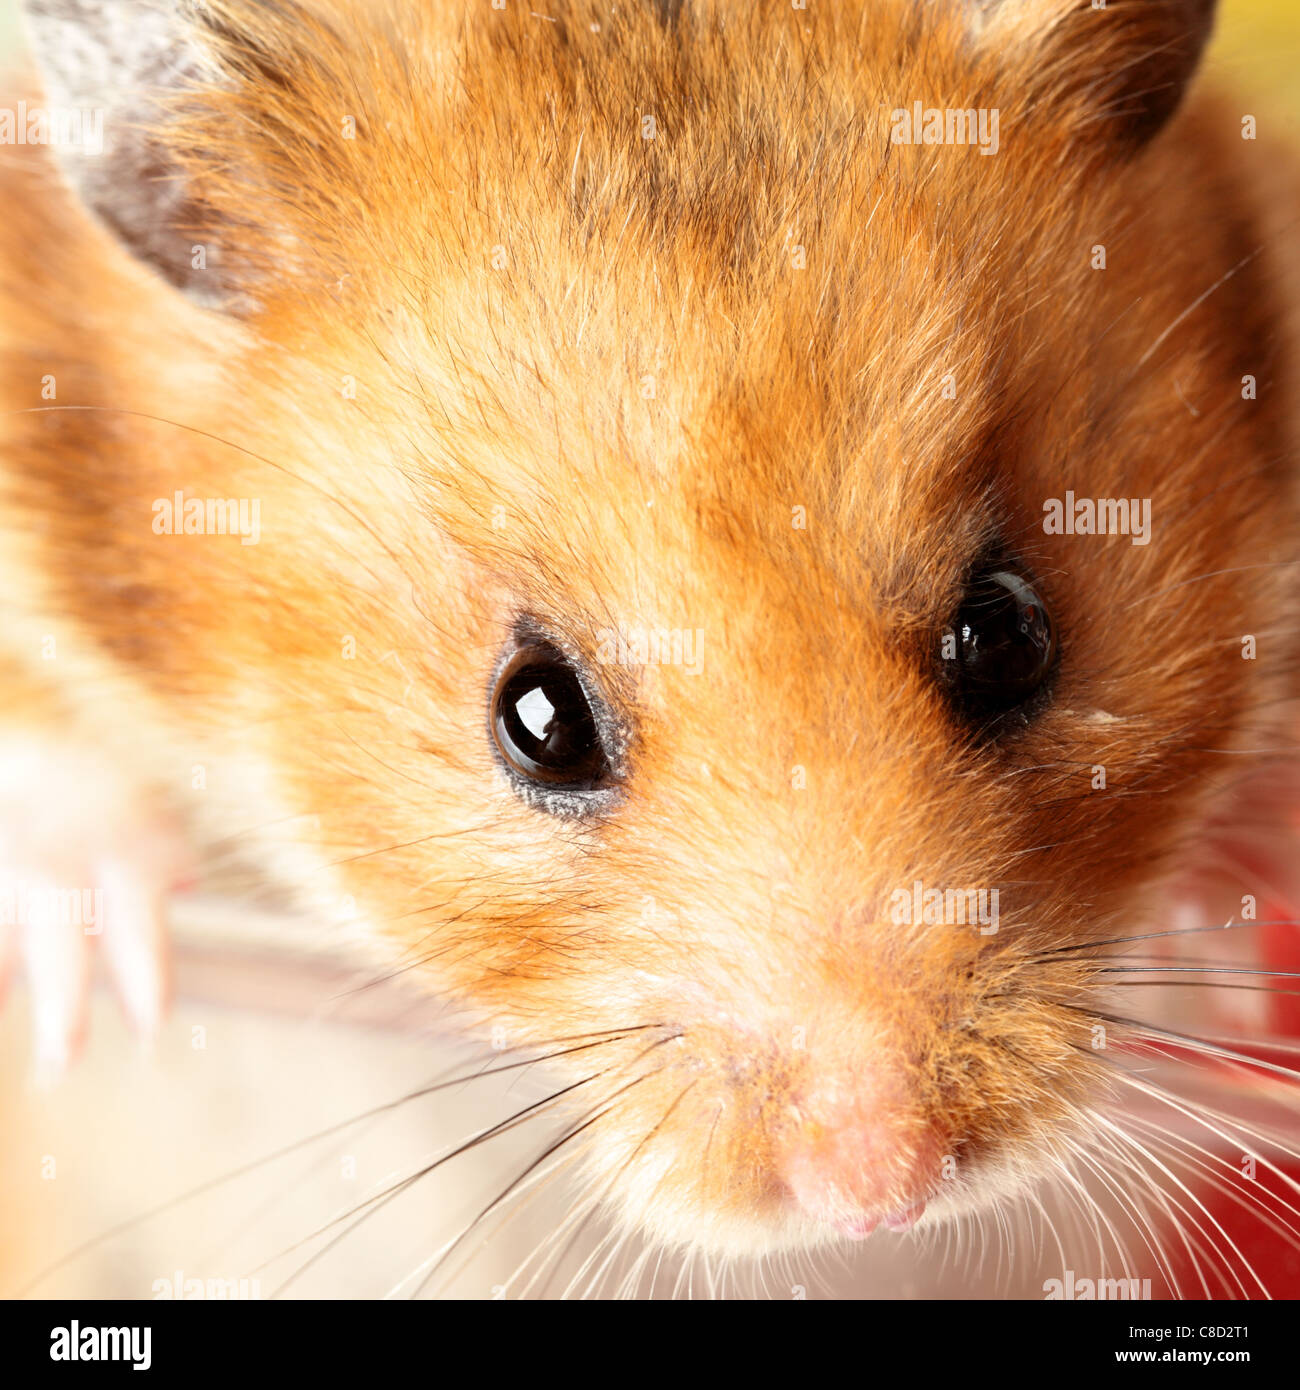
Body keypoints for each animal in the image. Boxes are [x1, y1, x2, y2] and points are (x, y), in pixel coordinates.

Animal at [0, 0, 1295, 1267]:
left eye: (1011, 635)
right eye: (536, 717)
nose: (882, 1194)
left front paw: (1234, 922)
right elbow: (49, 753)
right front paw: (116, 982)